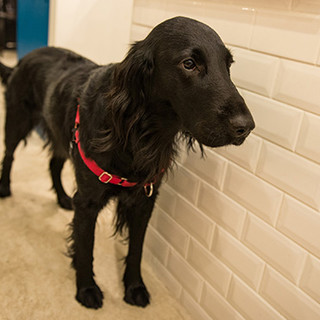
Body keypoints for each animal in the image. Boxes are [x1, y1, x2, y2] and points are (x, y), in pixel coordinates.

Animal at [0, 16, 255, 308]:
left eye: (228, 65)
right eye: (189, 63)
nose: (246, 127)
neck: (140, 132)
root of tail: (24, 58)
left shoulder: (145, 201)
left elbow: (136, 250)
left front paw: (134, 287)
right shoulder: (88, 202)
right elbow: (85, 247)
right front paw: (86, 288)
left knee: (54, 163)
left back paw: (63, 198)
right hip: (17, 121)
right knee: (9, 155)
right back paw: (5, 188)